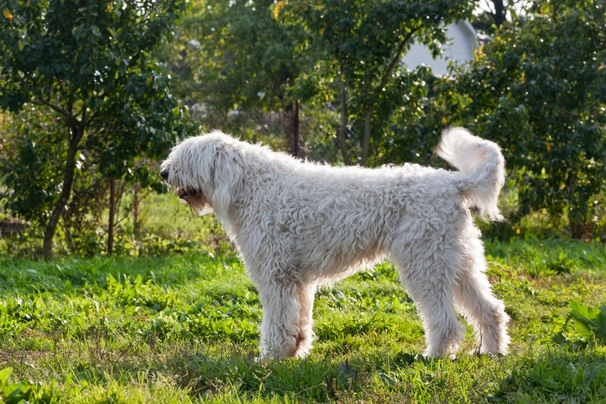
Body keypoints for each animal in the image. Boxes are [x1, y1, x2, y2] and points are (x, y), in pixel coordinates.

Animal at [162, 128, 512, 358]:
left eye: (186, 158)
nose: (164, 173)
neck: (251, 187)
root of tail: (453, 182)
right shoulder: (296, 281)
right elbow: (298, 321)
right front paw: (294, 352)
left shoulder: (276, 278)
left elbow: (276, 322)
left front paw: (270, 358)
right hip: (456, 263)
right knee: (490, 309)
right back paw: (490, 351)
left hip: (424, 264)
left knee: (445, 321)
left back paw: (434, 355)